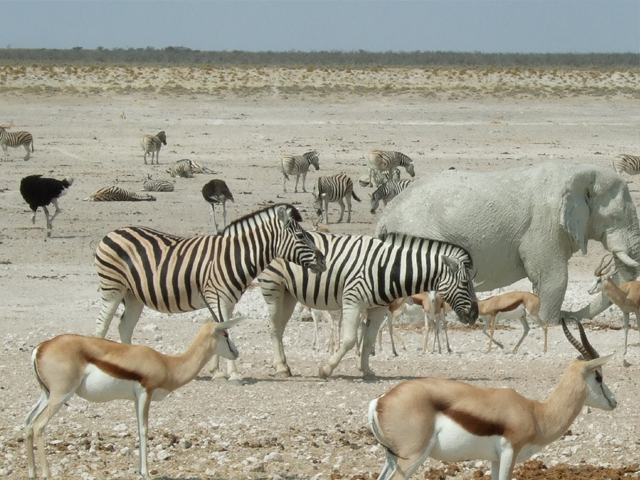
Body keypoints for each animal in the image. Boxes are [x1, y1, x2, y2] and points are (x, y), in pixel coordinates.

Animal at [26, 310, 244, 478]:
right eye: (225, 334)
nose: (236, 352)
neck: (168, 364)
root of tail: (41, 348)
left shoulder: (135, 399)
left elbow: (138, 428)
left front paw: (141, 470)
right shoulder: (145, 393)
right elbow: (144, 430)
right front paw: (146, 473)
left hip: (47, 394)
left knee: (28, 422)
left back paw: (32, 473)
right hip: (61, 395)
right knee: (39, 425)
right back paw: (46, 474)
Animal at [94, 204, 324, 384]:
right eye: (300, 236)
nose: (322, 260)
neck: (234, 256)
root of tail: (112, 232)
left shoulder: (228, 301)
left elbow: (220, 329)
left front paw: (218, 372)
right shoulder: (217, 298)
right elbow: (225, 330)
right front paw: (233, 374)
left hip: (133, 296)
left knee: (124, 326)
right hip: (112, 288)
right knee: (102, 325)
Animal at [258, 231, 478, 380]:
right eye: (465, 283)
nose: (475, 315)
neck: (389, 268)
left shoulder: (378, 307)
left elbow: (369, 339)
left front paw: (366, 370)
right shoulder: (352, 301)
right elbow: (349, 340)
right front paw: (326, 369)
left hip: (289, 294)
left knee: (279, 329)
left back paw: (284, 366)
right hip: (273, 287)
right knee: (273, 327)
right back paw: (281, 368)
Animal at [370, 318, 616, 480]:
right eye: (598, 376)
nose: (614, 402)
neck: (536, 414)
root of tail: (379, 401)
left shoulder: (495, 459)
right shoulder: (509, 453)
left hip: (392, 458)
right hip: (412, 456)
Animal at [376, 163, 640, 324]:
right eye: (617, 217)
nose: (569, 317)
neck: (580, 170)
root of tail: (385, 215)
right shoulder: (545, 225)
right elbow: (553, 278)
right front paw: (548, 322)